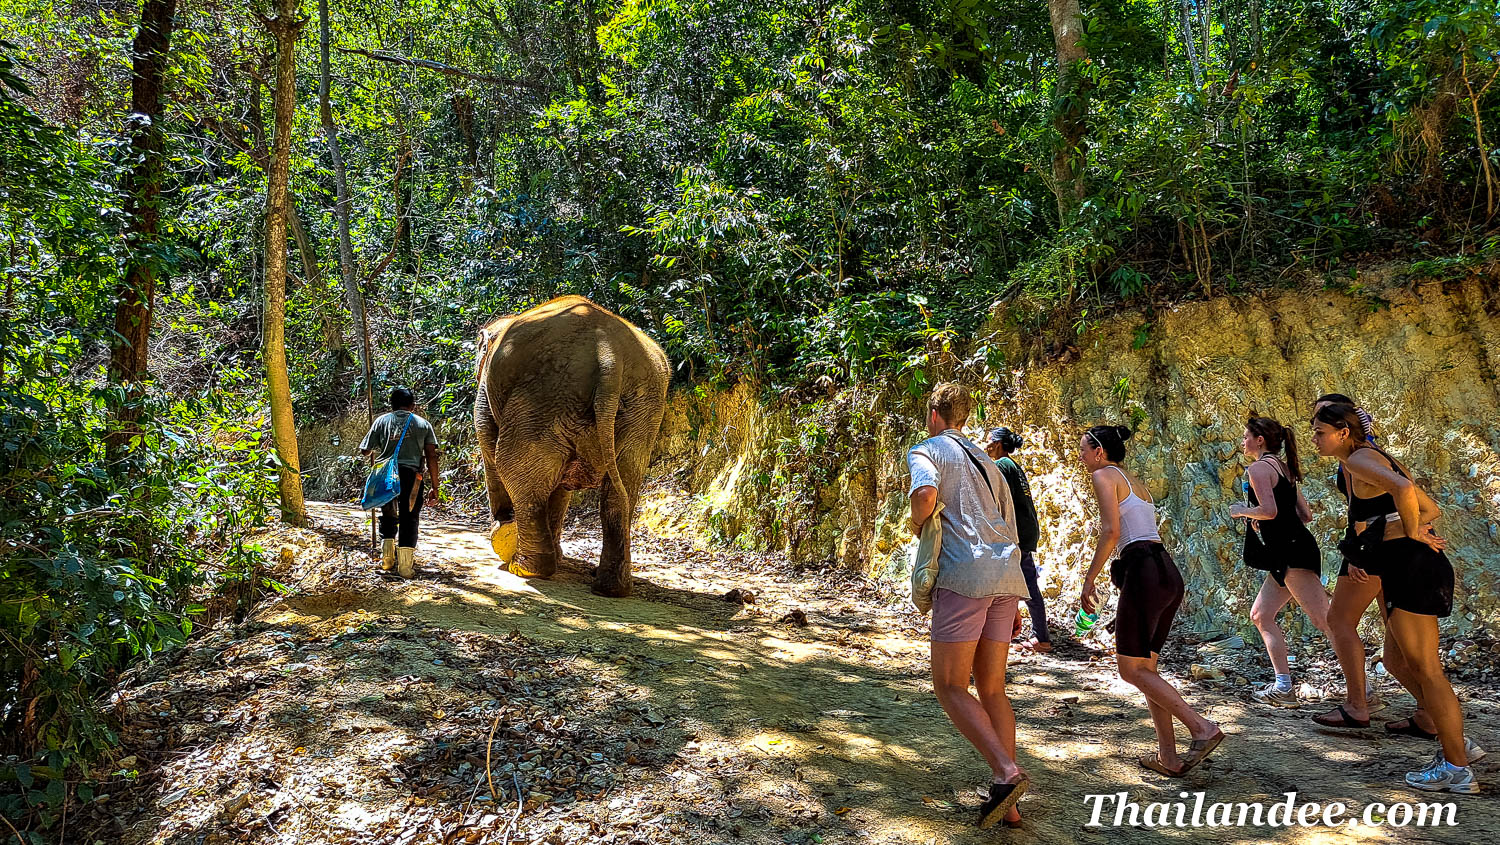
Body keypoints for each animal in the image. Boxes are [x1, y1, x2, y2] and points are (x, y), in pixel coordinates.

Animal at [474, 294, 669, 597]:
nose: (502, 521)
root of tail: (609, 356)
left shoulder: (486, 392)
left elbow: (489, 448)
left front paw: (503, 531)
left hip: (543, 395)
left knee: (512, 466)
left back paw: (525, 569)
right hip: (643, 409)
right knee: (623, 489)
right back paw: (611, 588)